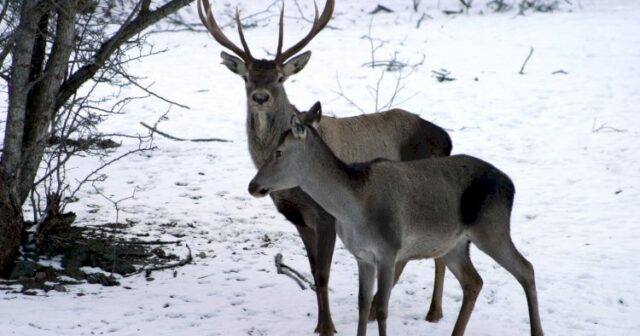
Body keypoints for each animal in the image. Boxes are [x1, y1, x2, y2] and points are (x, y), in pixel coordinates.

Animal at [250, 101, 544, 336]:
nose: (253, 185)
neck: (353, 209)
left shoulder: (389, 251)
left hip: (492, 228)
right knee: (474, 282)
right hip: (454, 244)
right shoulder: (362, 256)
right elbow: (362, 304)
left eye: (278, 152)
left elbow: (381, 309)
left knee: (526, 268)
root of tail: (511, 185)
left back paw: (537, 331)